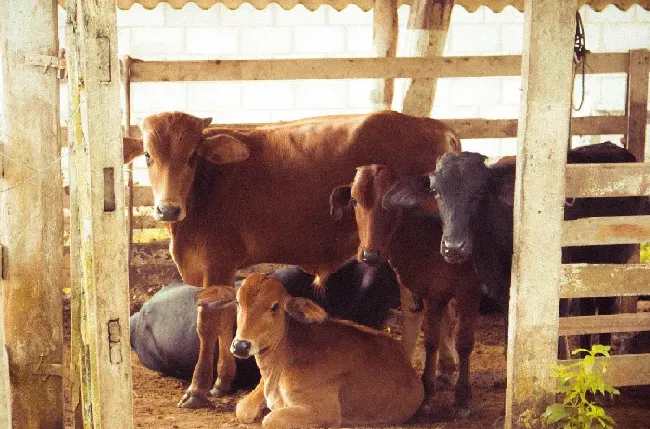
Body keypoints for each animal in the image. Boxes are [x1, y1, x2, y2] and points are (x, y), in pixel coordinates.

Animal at [196, 274, 420, 428]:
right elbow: (242, 408)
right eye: (237, 302)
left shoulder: (325, 411)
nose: (241, 345)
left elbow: (270, 419)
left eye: (275, 306)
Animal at [330, 165, 480, 418]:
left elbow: (464, 342)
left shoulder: (468, 290)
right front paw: (427, 394)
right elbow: (431, 340)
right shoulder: (433, 293)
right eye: (353, 200)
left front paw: (461, 399)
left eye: (391, 202)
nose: (370, 254)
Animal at [384, 142, 644, 352]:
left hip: (612, 264)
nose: (453, 247)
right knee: (589, 306)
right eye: (436, 192)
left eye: (479, 191)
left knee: (605, 307)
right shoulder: (502, 293)